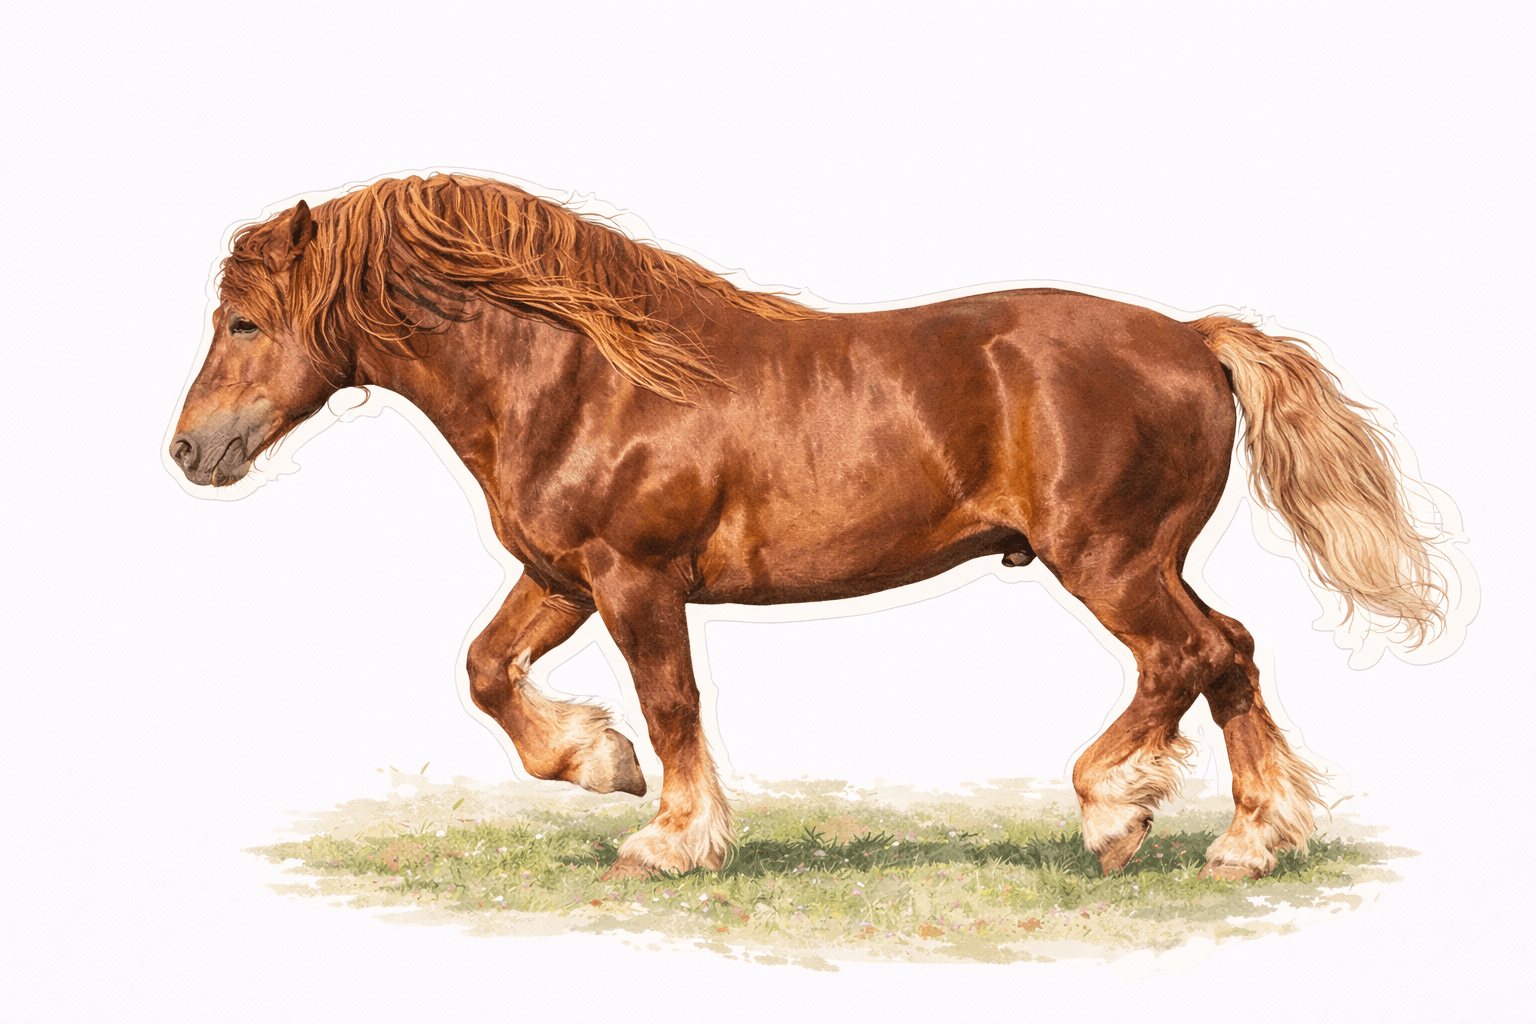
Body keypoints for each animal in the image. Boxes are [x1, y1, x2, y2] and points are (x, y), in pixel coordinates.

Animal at [169, 173, 1453, 881]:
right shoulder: (563, 575)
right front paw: (598, 766)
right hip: (1139, 560)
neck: (584, 375)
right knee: (1229, 654)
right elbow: (488, 671)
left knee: (1190, 655)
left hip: (1110, 559)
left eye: (243, 323)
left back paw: (1116, 809)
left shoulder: (636, 579)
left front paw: (670, 837)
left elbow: (673, 703)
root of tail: (1193, 338)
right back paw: (1247, 841)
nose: (189, 451)